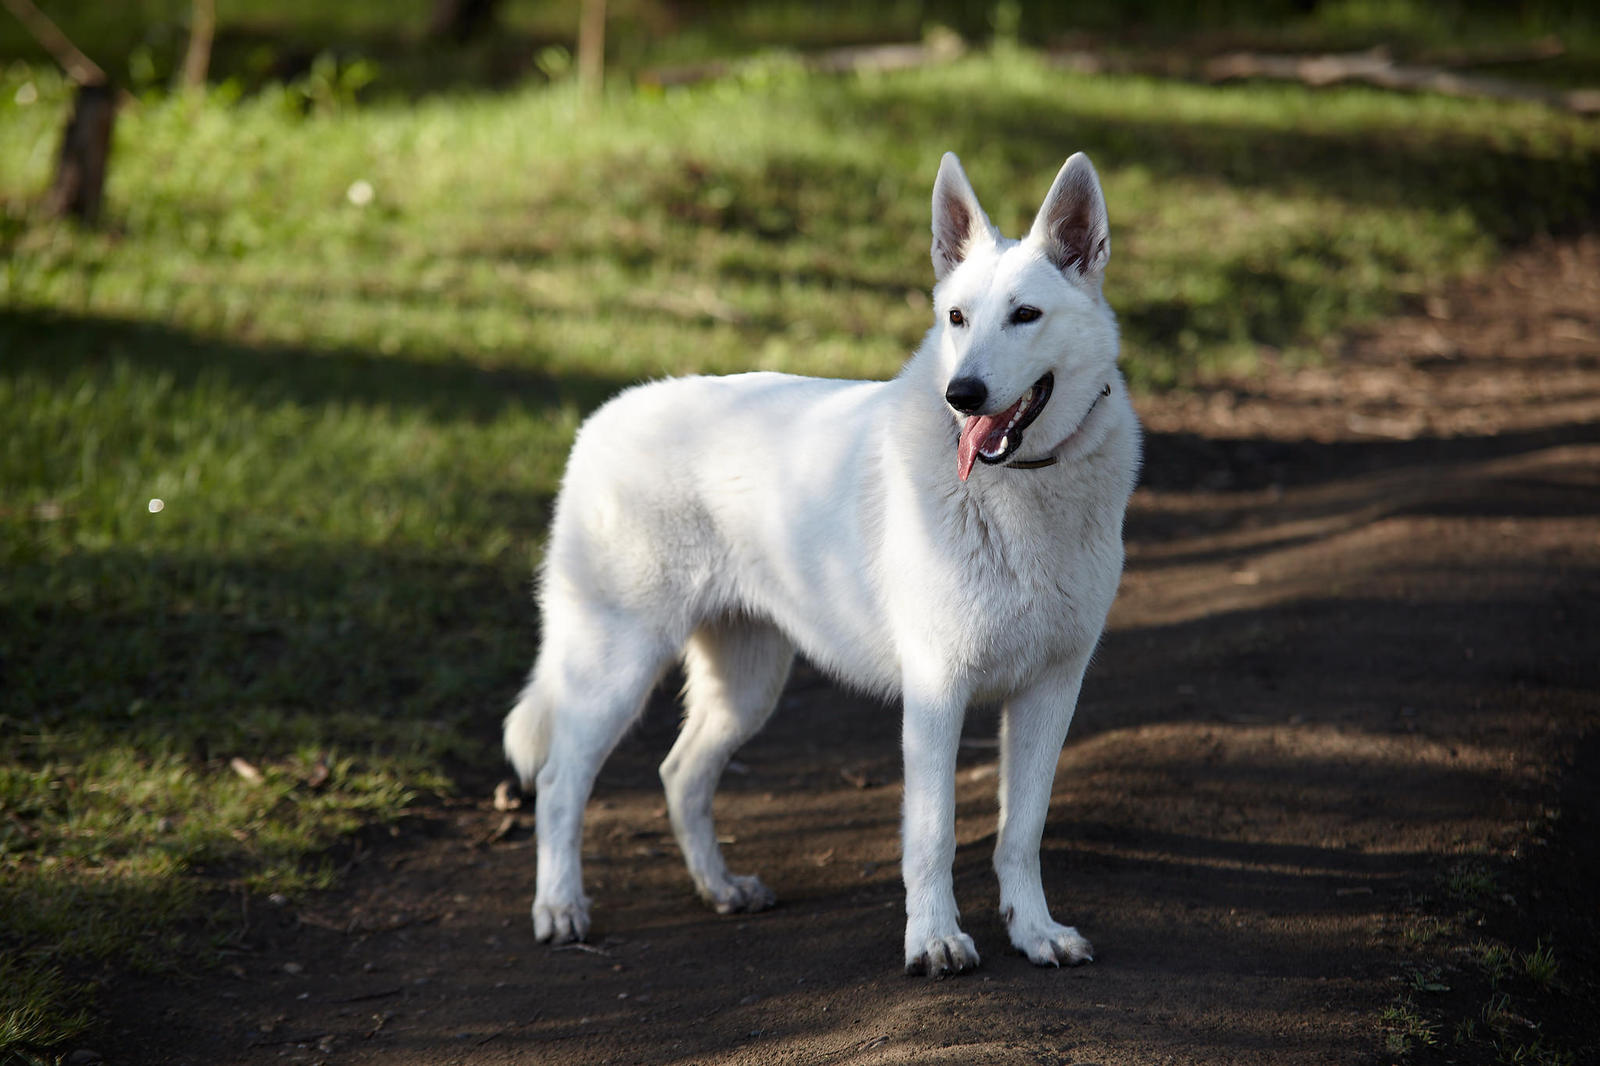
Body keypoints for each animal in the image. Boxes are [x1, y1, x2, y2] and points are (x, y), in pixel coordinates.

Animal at [505, 149, 1145, 973]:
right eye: (957, 319)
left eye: (1025, 315)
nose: (962, 395)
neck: (1024, 489)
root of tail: (600, 420)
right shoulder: (937, 692)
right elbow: (933, 834)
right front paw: (935, 940)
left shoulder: (1052, 689)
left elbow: (1021, 833)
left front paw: (1035, 933)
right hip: (615, 664)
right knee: (559, 782)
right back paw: (559, 908)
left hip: (746, 683)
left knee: (680, 774)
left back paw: (721, 889)